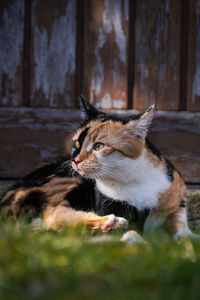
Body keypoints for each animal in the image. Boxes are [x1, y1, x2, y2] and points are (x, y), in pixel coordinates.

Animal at [0, 97, 195, 243]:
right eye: (77, 144)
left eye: (99, 146)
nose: (75, 160)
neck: (133, 179)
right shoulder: (110, 202)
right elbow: (134, 232)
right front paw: (138, 241)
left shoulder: (178, 196)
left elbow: (180, 225)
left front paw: (189, 240)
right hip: (66, 181)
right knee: (53, 215)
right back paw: (110, 223)